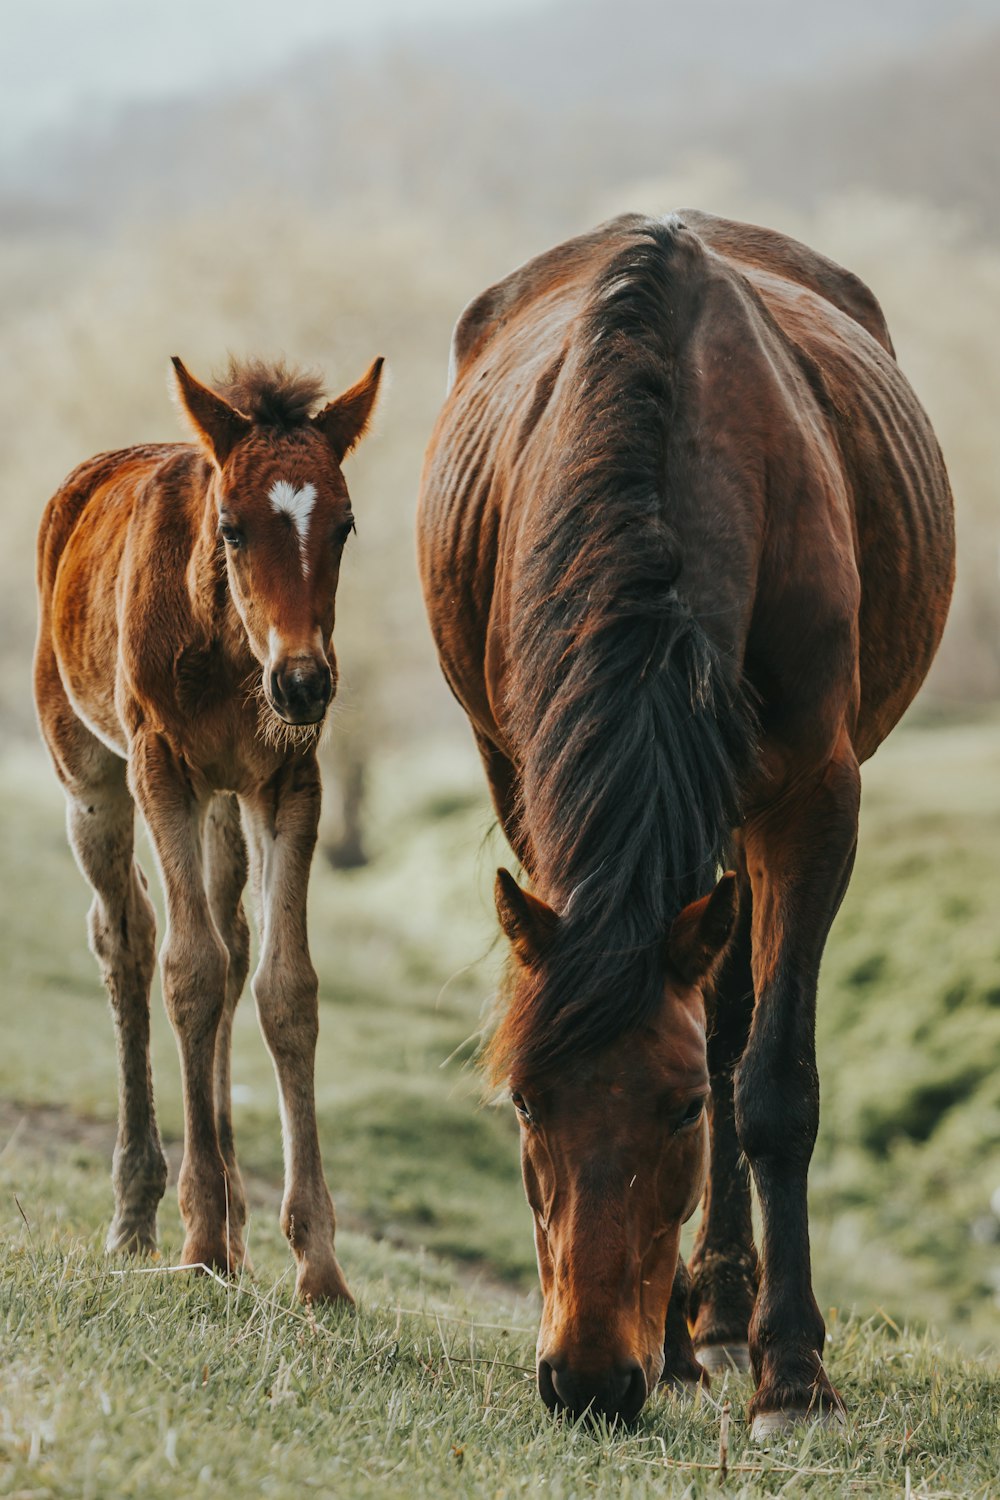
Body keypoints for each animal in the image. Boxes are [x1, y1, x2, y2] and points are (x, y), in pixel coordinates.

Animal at [419, 217, 959, 1434]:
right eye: (526, 1102)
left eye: (674, 1116)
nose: (586, 1380)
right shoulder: (529, 782)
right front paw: (671, 1341)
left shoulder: (813, 798)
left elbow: (769, 1081)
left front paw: (792, 1372)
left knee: (734, 1022)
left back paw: (727, 1312)